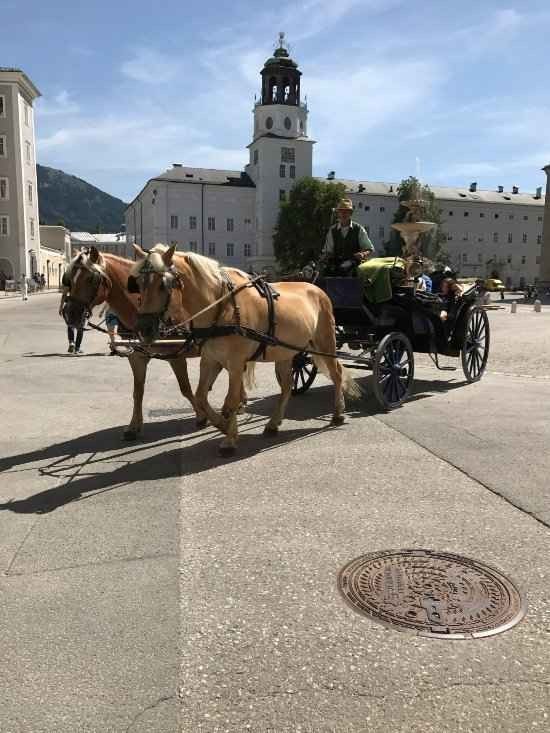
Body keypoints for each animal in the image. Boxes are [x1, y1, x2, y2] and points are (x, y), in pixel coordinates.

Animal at [61, 246, 247, 440]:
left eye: (91, 278)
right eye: (69, 278)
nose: (70, 313)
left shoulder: (176, 356)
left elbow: (185, 388)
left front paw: (202, 416)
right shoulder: (137, 357)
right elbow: (138, 392)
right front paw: (134, 426)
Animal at [129, 243, 362, 454]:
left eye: (163, 284)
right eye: (139, 283)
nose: (143, 328)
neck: (221, 306)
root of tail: (316, 288)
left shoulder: (235, 363)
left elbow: (232, 399)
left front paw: (229, 438)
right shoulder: (210, 359)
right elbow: (201, 396)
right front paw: (222, 425)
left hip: (324, 342)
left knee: (337, 373)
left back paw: (338, 413)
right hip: (285, 353)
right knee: (287, 386)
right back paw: (273, 424)